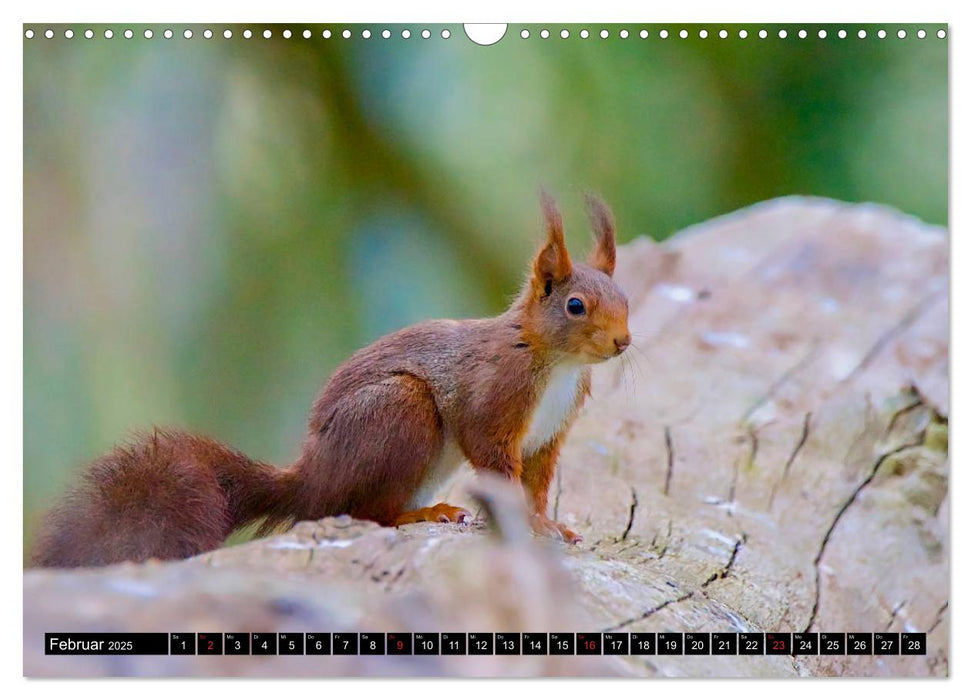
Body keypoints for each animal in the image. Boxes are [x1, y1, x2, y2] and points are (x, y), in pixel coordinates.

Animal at [30, 194, 632, 568]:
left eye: (625, 299)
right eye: (576, 306)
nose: (624, 342)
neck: (555, 363)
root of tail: (312, 479)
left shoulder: (548, 435)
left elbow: (536, 484)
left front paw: (549, 524)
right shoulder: (494, 403)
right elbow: (494, 462)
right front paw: (529, 526)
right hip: (400, 410)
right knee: (367, 512)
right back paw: (423, 512)